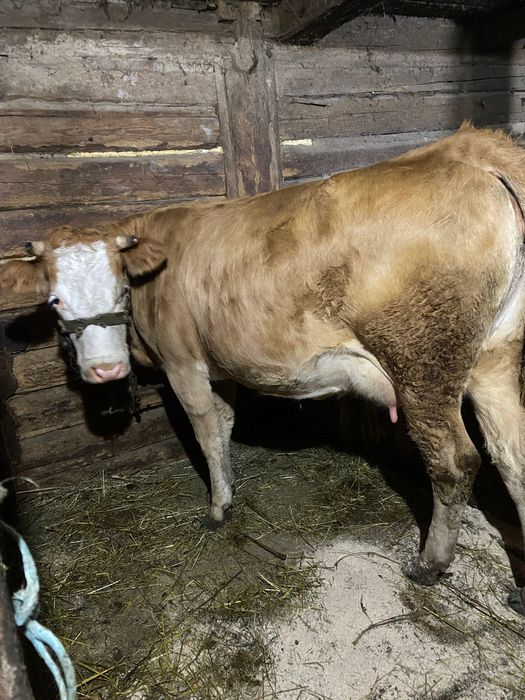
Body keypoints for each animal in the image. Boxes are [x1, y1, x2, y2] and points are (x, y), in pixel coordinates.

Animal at [3, 124, 525, 613]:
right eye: (55, 300)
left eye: (121, 290)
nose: (106, 370)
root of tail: (467, 151)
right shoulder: (221, 369)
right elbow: (225, 425)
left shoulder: (182, 363)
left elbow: (206, 432)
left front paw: (218, 509)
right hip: (494, 360)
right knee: (512, 454)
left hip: (423, 365)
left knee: (455, 462)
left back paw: (429, 564)